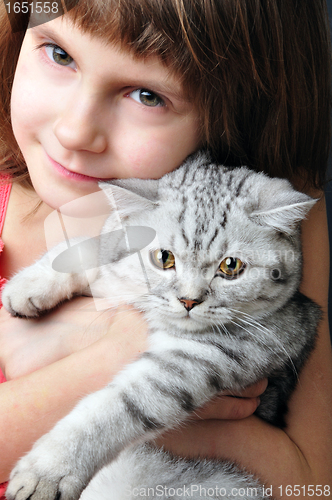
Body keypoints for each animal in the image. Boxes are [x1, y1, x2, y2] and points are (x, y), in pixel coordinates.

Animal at [1, 152, 320, 500]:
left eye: (231, 266)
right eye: (164, 258)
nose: (189, 300)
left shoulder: (210, 356)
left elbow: (116, 408)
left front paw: (50, 469)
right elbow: (87, 246)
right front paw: (27, 286)